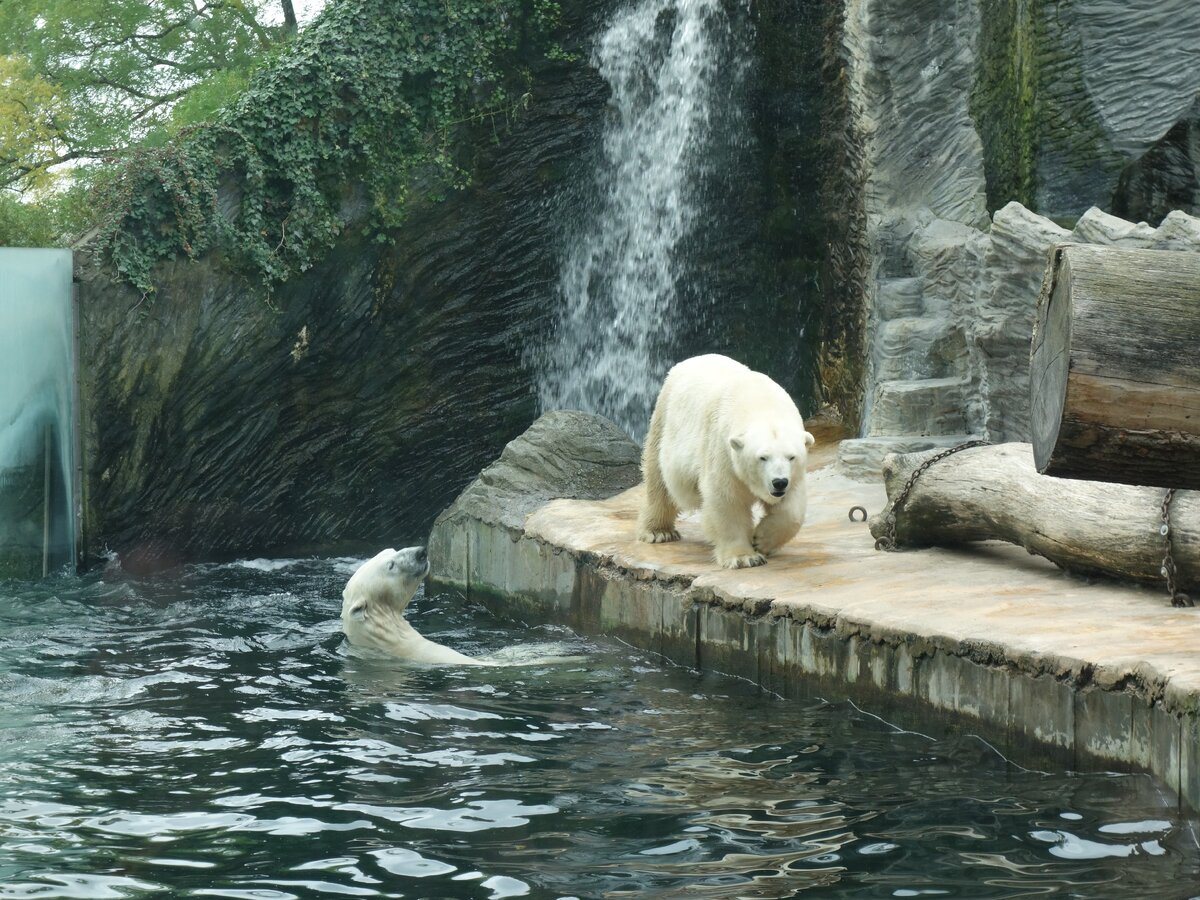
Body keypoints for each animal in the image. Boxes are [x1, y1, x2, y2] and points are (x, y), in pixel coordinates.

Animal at [638, 355, 816, 571]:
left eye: (791, 457)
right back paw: (659, 532)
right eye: (762, 457)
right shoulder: (722, 449)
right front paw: (745, 557)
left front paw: (761, 540)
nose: (779, 482)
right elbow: (726, 499)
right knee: (659, 479)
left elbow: (791, 509)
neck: (761, 403)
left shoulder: (793, 475)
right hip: (663, 418)